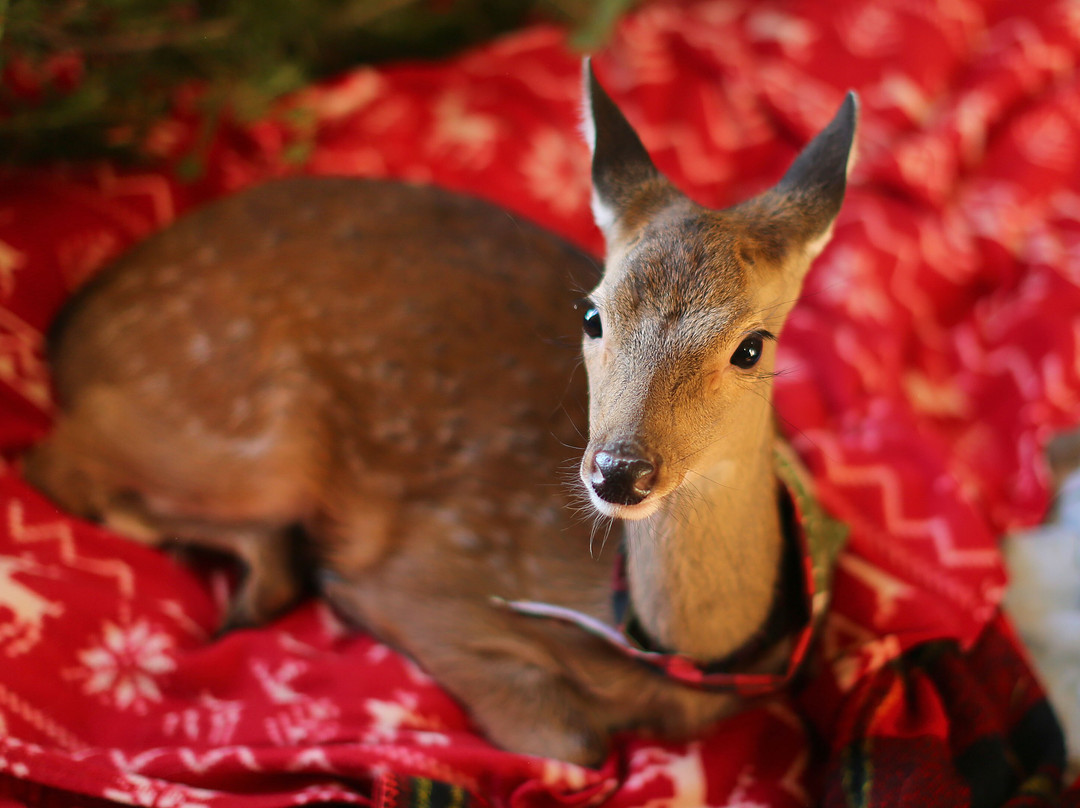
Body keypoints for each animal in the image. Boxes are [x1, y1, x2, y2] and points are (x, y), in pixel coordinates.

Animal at [23, 63, 856, 765]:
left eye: (751, 346)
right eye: (592, 314)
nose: (620, 470)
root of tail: (78, 313)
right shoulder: (428, 577)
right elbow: (572, 739)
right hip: (254, 432)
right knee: (58, 460)